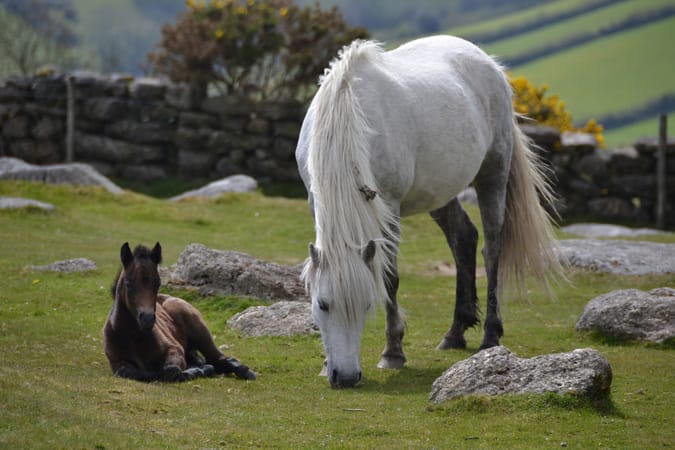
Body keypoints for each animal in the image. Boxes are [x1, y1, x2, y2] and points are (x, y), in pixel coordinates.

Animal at [103, 244, 256, 382]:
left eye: (158, 283)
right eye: (128, 283)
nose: (147, 319)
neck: (133, 338)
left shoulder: (174, 349)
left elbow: (171, 371)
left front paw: (199, 370)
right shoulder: (117, 363)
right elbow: (136, 373)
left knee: (217, 358)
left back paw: (245, 371)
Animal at [298, 35, 564, 386]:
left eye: (367, 305)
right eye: (323, 305)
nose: (346, 377)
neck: (348, 112)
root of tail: (487, 61)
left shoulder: (391, 208)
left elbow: (390, 278)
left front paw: (392, 353)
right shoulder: (315, 202)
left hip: (493, 174)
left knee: (492, 248)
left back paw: (490, 336)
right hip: (440, 193)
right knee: (463, 237)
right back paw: (455, 332)